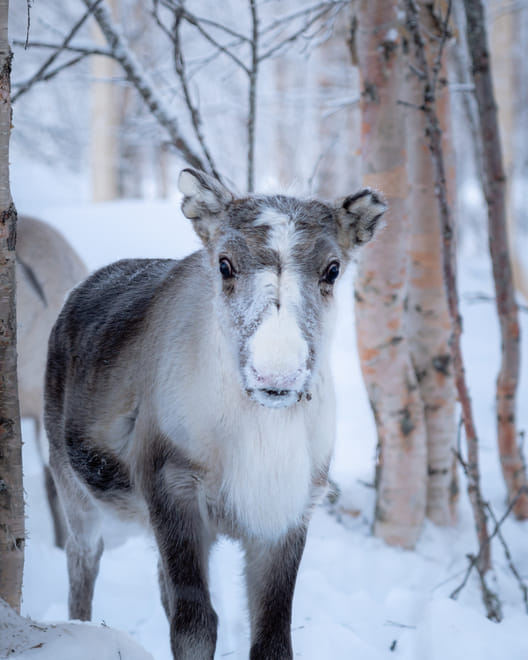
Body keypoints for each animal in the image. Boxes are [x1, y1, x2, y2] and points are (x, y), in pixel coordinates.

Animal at [44, 169, 386, 660]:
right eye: (224, 264)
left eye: (333, 268)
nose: (276, 373)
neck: (260, 430)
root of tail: (76, 294)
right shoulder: (171, 488)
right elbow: (194, 625)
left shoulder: (287, 511)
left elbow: (272, 638)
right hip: (72, 482)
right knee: (82, 556)